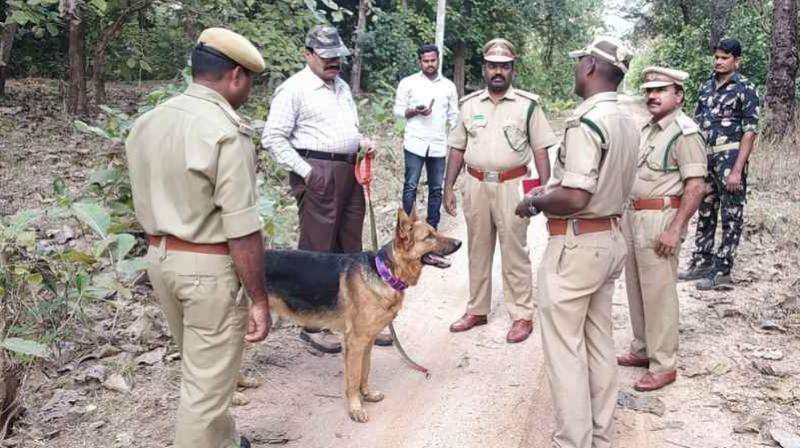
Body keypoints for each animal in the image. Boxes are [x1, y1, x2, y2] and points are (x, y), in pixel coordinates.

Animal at [264, 208, 460, 422]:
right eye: (429, 236)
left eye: (435, 231)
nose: (460, 243)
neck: (384, 272)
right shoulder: (355, 342)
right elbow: (353, 378)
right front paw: (355, 408)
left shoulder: (368, 340)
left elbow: (364, 371)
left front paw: (367, 394)